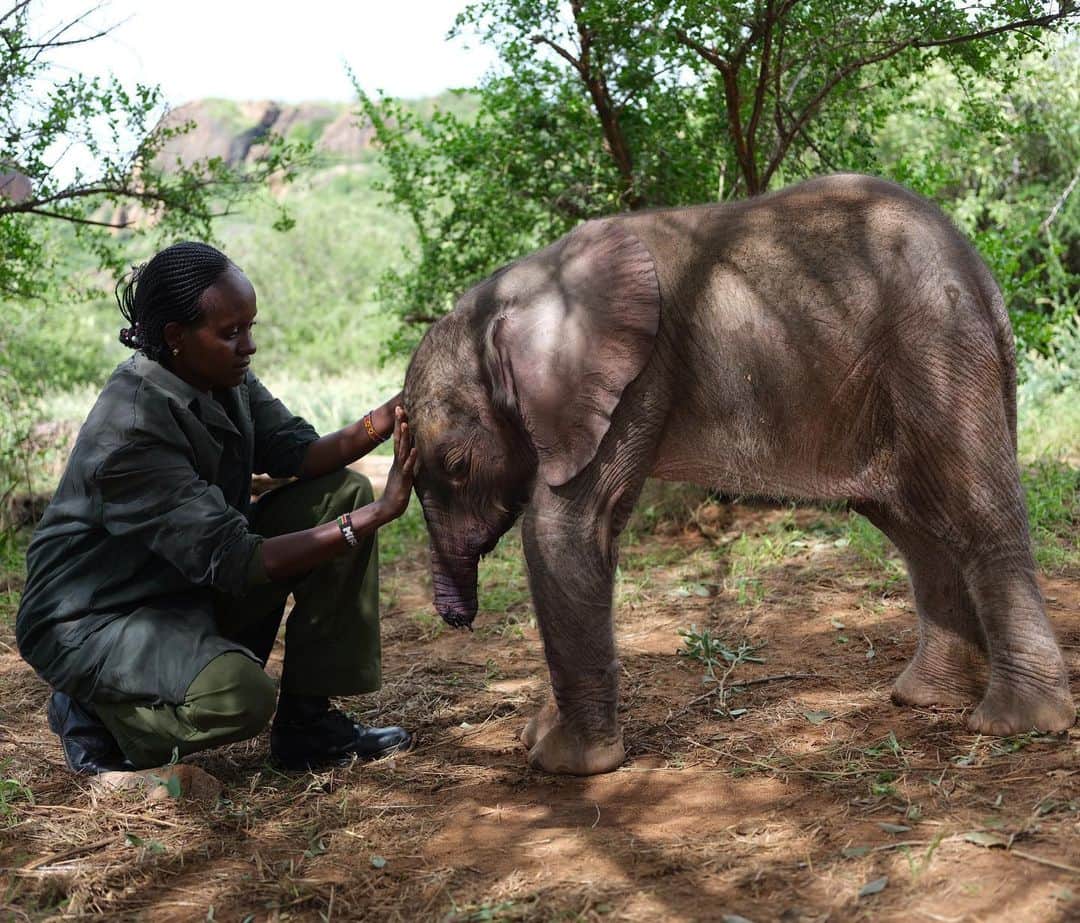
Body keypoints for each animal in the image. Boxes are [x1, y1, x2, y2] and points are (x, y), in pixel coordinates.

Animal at [402, 173, 1075, 776]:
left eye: (456, 467)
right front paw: (534, 737)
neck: (524, 288)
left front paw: (565, 765)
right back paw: (924, 697)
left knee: (974, 508)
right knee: (912, 523)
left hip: (935, 349)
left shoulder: (638, 372)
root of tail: (984, 278)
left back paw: (1015, 723)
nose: (459, 621)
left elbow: (566, 525)